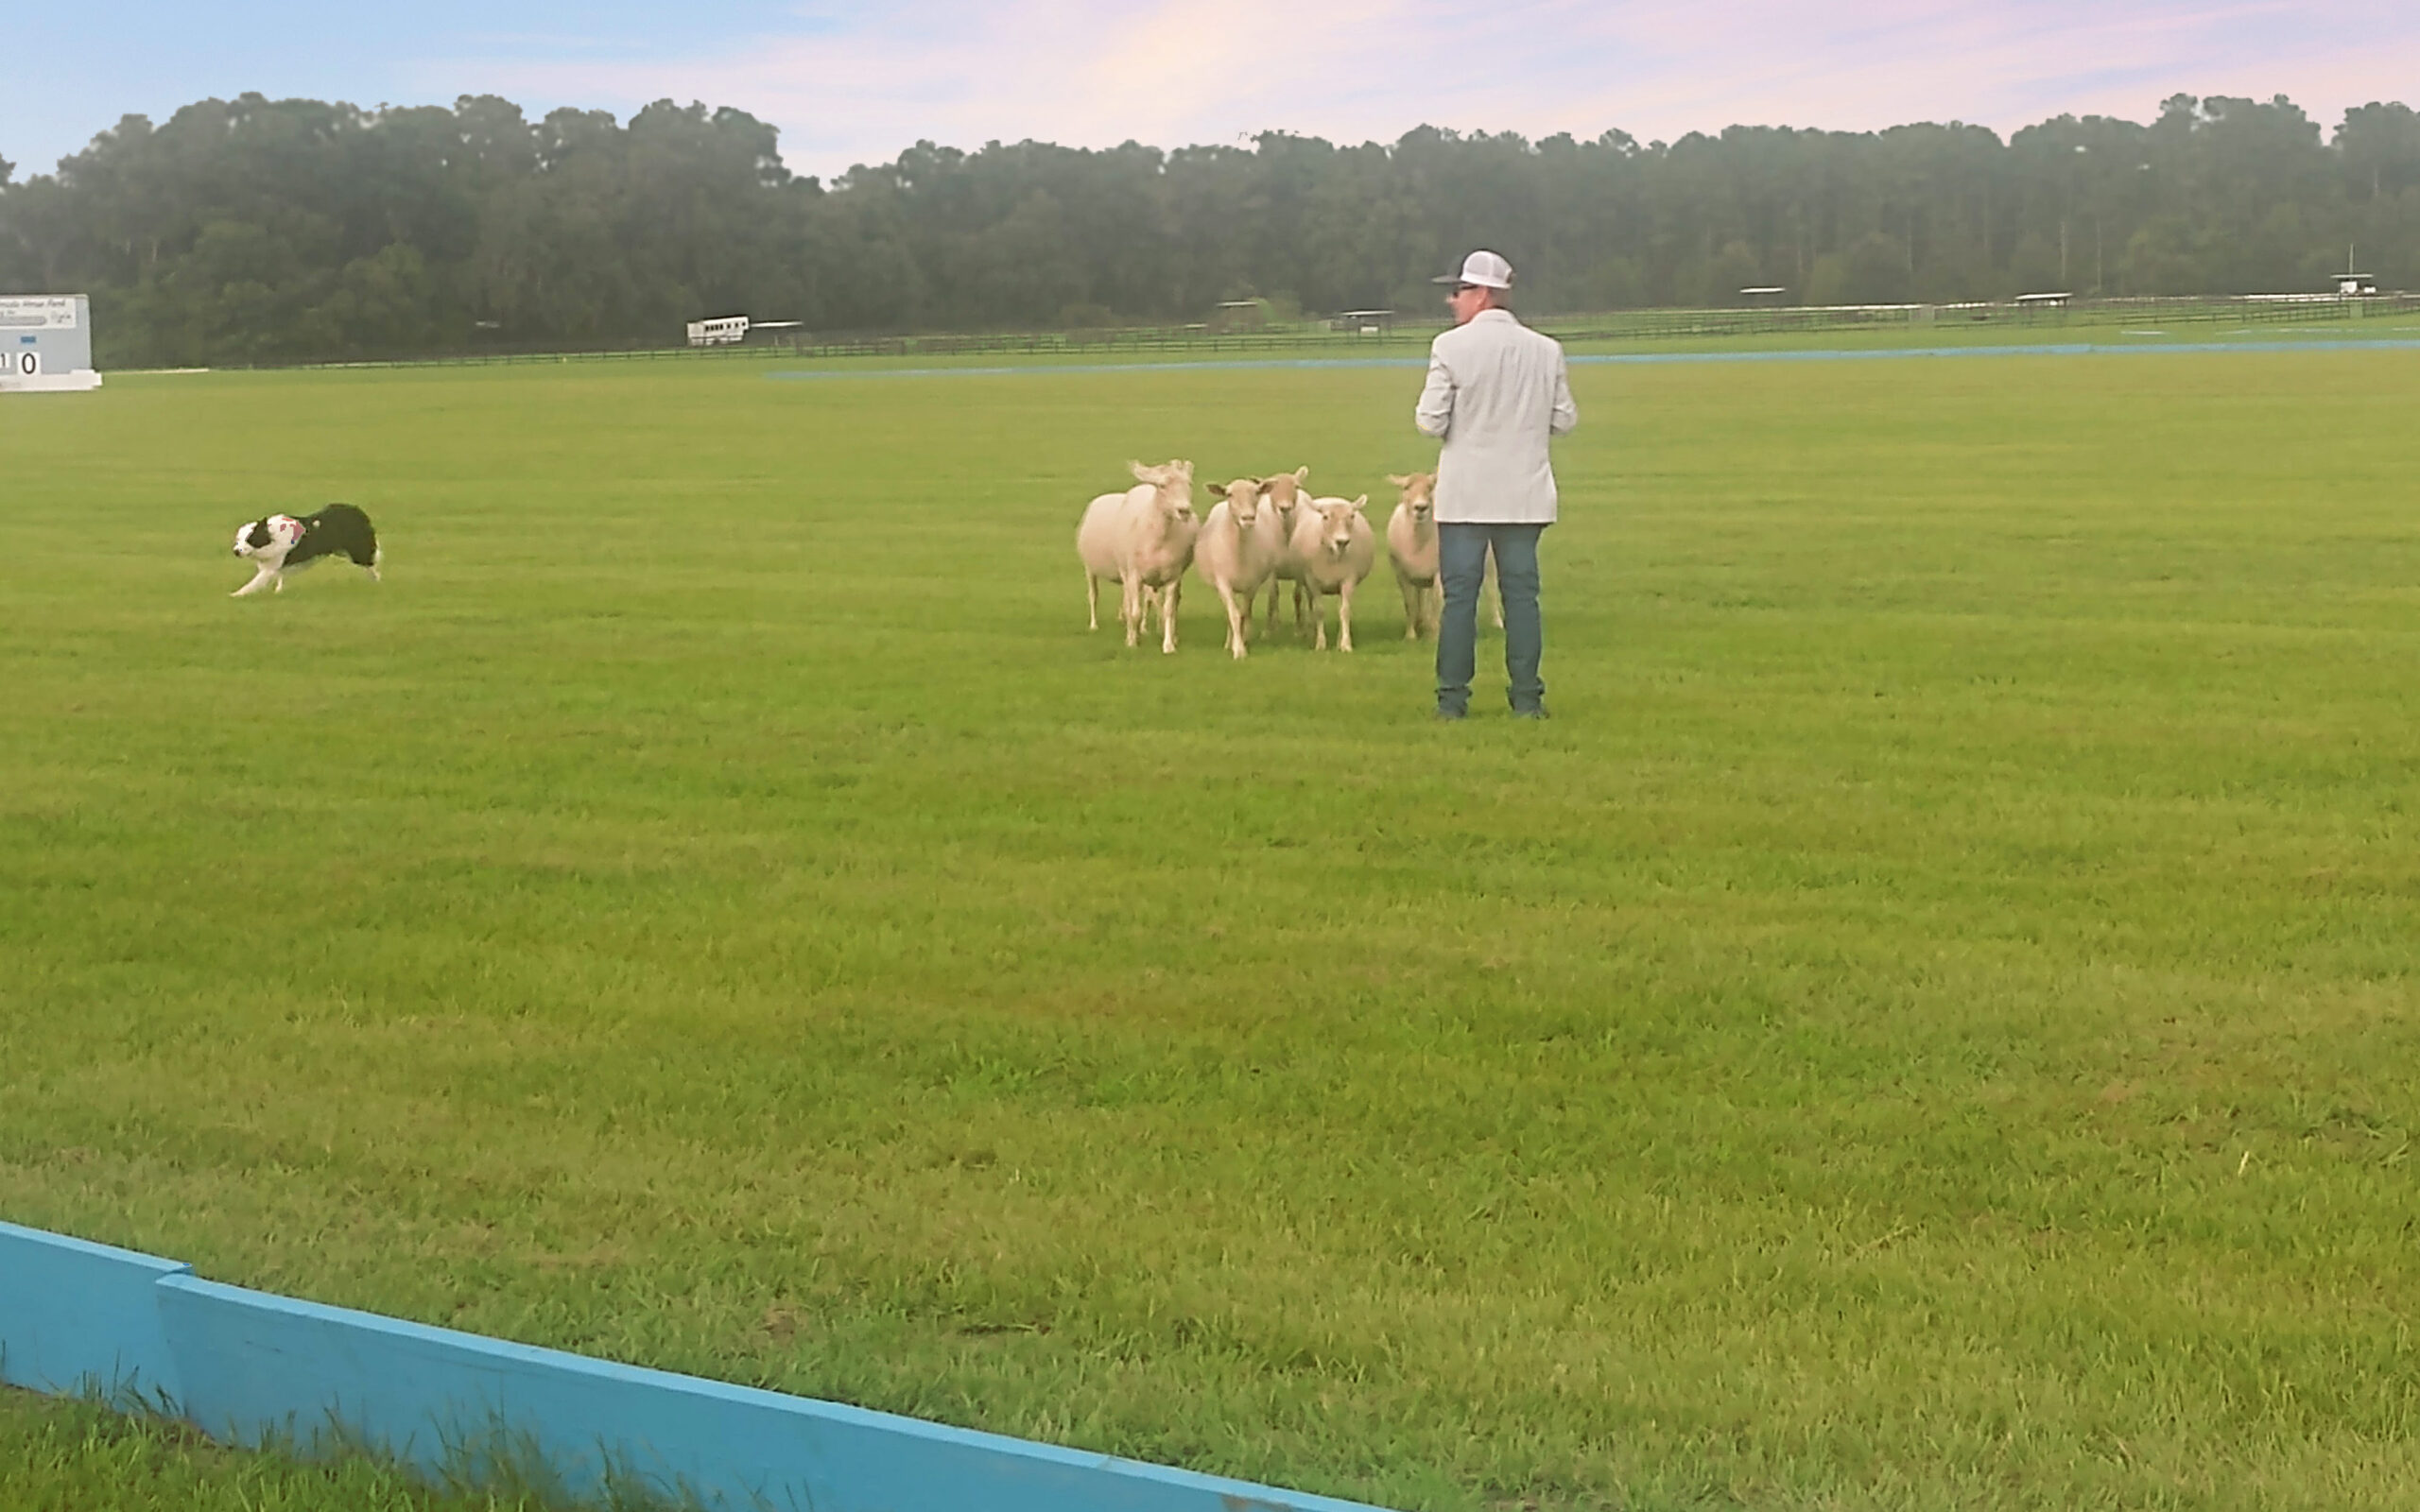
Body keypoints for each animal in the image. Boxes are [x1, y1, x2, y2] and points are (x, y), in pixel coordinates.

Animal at [1079, 456, 1200, 653]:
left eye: (1189, 483)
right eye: (1162, 486)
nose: (1184, 511)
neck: (1160, 538)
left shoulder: (1173, 576)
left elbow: (1169, 610)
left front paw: (1169, 645)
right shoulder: (1134, 574)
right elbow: (1134, 611)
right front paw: (1132, 642)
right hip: (1094, 568)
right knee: (1095, 595)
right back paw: (1095, 625)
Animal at [1190, 476, 1287, 653]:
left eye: (1257, 492)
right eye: (1229, 494)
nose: (1247, 518)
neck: (1239, 551)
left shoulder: (1252, 585)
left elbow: (1244, 613)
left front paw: (1243, 641)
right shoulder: (1223, 583)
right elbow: (1234, 615)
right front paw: (1238, 649)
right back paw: (1229, 643)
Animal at [1297, 495, 1374, 648]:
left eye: (1352, 516)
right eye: (1325, 517)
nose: (1342, 542)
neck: (1333, 555)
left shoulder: (1348, 579)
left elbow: (1345, 611)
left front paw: (1345, 644)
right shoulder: (1312, 580)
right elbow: (1319, 611)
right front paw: (1320, 643)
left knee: (1341, 607)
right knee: (1310, 604)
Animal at [1384, 469, 1432, 638]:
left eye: (1430, 487)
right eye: (1406, 487)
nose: (1421, 508)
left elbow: (1436, 603)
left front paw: (1433, 634)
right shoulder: (1402, 574)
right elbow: (1409, 603)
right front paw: (1410, 635)